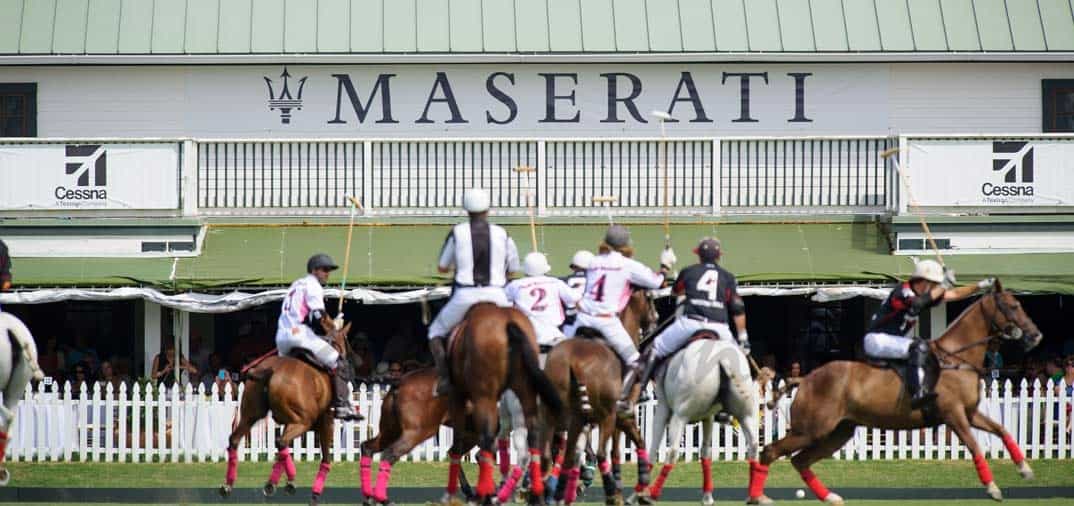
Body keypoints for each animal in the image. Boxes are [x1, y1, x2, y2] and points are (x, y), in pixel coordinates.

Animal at [218, 317, 356, 506]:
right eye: (347, 340)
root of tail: (268, 372)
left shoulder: (287, 421)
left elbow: (282, 453)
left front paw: (271, 484)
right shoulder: (326, 421)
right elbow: (326, 458)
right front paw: (314, 494)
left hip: (250, 415)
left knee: (236, 439)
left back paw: (228, 485)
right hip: (303, 421)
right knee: (281, 442)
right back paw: (291, 481)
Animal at [545, 290, 661, 506]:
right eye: (650, 298)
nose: (655, 322)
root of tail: (575, 362)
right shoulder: (622, 418)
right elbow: (632, 445)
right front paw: (637, 489)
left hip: (567, 418)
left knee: (560, 453)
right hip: (604, 418)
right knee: (597, 453)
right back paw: (607, 493)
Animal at [631, 337, 760, 506]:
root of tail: (722, 358)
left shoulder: (663, 408)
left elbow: (652, 451)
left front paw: (636, 495)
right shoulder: (708, 417)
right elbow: (705, 452)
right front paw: (707, 496)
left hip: (680, 416)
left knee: (672, 451)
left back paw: (651, 495)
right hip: (745, 415)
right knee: (753, 446)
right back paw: (754, 496)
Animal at [747, 283, 1039, 504]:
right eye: (1013, 306)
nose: (1036, 335)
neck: (957, 357)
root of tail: (806, 377)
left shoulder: (970, 412)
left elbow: (1002, 430)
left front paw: (1025, 469)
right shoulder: (954, 414)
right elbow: (975, 445)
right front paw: (993, 488)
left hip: (838, 431)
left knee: (800, 461)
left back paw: (828, 496)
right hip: (811, 429)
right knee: (770, 451)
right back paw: (758, 497)